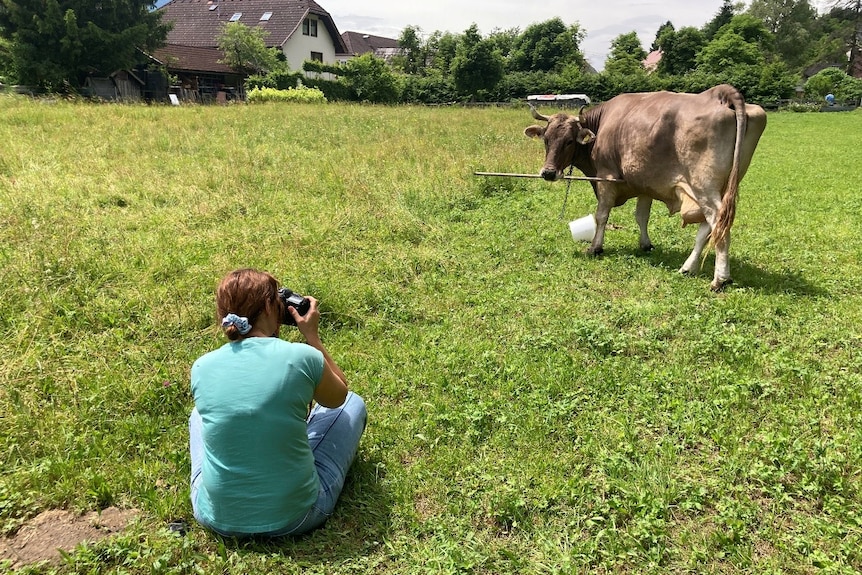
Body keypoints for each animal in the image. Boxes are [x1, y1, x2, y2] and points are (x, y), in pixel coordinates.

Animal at [525, 84, 767, 291]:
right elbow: (641, 216)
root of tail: (720, 92)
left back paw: (720, 279)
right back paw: (688, 267)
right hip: (721, 186)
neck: (602, 126)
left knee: (718, 223)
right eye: (546, 139)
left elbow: (601, 215)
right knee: (707, 228)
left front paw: (595, 247)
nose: (548, 172)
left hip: (704, 186)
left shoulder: (605, 178)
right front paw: (645, 244)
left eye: (569, 141)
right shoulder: (644, 184)